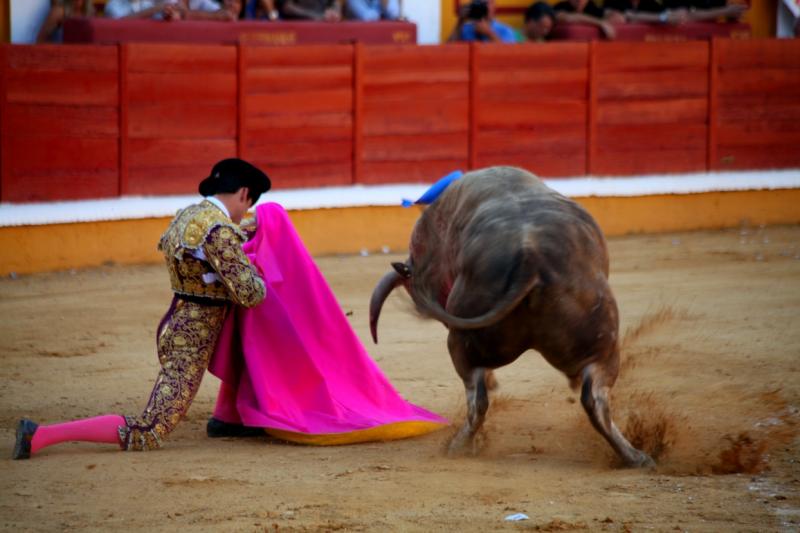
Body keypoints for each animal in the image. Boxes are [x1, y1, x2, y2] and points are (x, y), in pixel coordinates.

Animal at [372, 165, 652, 466]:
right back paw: (636, 456)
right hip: (601, 343)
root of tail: (531, 260)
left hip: (468, 340)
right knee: (593, 399)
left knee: (480, 395)